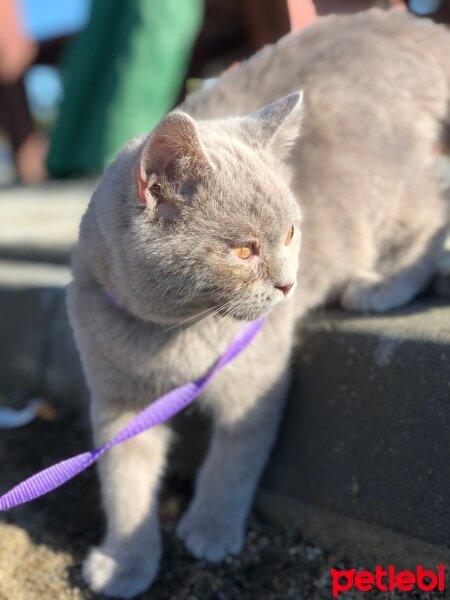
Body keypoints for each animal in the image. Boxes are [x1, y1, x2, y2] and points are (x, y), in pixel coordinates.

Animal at [67, 7, 450, 596]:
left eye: (291, 233)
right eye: (244, 249)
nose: (290, 284)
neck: (171, 338)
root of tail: (397, 27)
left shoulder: (256, 380)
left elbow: (235, 460)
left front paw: (210, 529)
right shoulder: (117, 401)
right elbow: (124, 483)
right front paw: (126, 561)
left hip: (389, 189)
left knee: (432, 213)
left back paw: (378, 285)